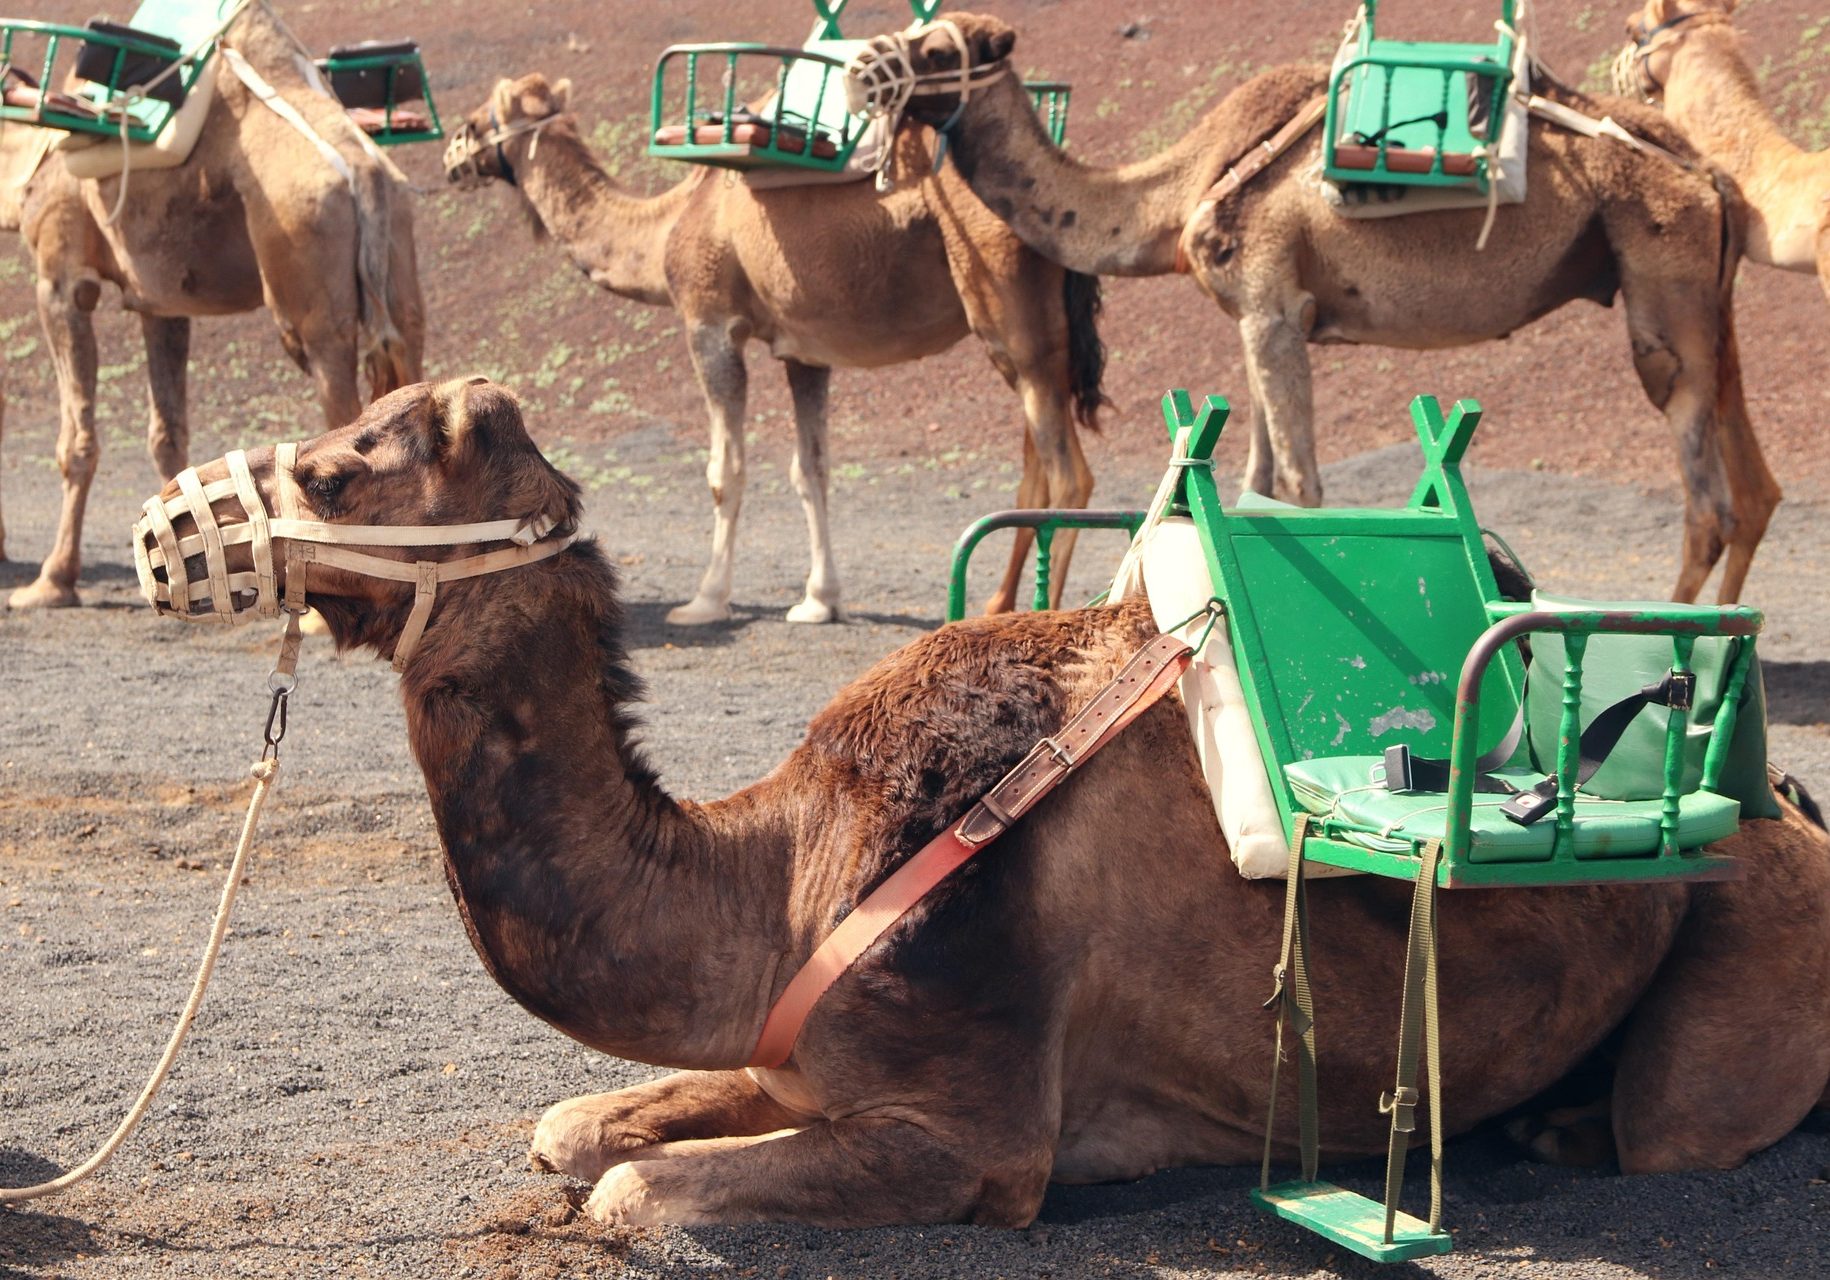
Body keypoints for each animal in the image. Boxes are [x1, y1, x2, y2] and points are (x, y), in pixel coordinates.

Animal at [0, 0, 420, 611]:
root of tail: (363, 171)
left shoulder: (61, 278)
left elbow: (76, 442)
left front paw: (51, 583)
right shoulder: (161, 304)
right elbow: (168, 436)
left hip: (307, 285)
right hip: (402, 270)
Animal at [139, 380, 1830, 1230]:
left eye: (336, 472)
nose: (162, 538)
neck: (784, 868)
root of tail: (1784, 803)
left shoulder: (975, 1129)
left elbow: (623, 1194)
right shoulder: (800, 1050)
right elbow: (576, 1127)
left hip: (1744, 963)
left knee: (1675, 1124)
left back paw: (1560, 1133)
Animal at [444, 75, 1105, 626]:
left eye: (480, 118)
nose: (451, 155)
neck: (669, 224)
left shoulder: (710, 323)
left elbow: (725, 470)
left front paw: (706, 600)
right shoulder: (804, 351)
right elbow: (811, 468)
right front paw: (819, 600)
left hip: (1006, 308)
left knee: (1069, 474)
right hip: (1034, 339)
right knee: (1036, 466)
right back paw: (997, 605)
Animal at [856, 14, 1786, 604]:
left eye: (935, 47)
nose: (863, 68)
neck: (1175, 196)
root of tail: (1708, 173)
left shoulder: (1271, 303)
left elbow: (1301, 486)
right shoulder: (1264, 318)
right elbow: (1255, 479)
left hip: (1660, 277)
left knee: (1706, 492)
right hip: (1710, 295)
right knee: (1751, 478)